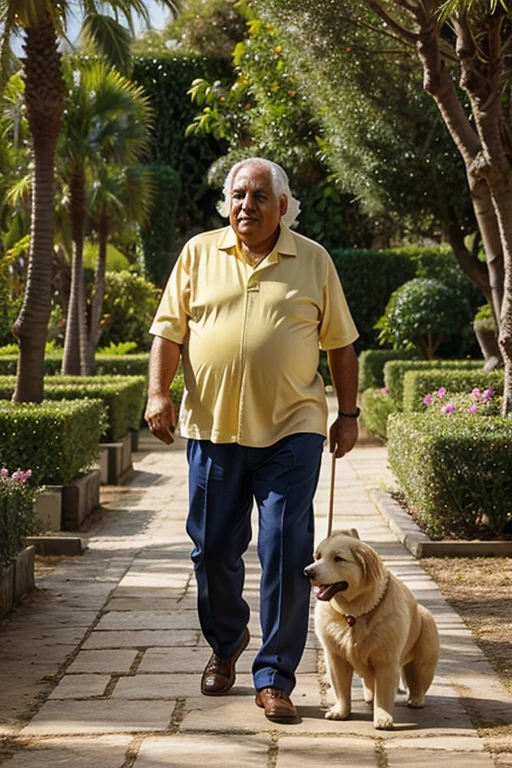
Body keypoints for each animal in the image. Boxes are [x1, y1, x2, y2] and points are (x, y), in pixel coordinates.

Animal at [304, 532, 440, 728]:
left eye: (338, 559)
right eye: (318, 556)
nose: (308, 571)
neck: (354, 614)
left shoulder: (387, 659)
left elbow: (384, 692)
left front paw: (383, 717)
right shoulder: (335, 657)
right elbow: (341, 689)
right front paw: (341, 711)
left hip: (425, 648)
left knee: (418, 680)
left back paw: (416, 700)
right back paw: (369, 695)